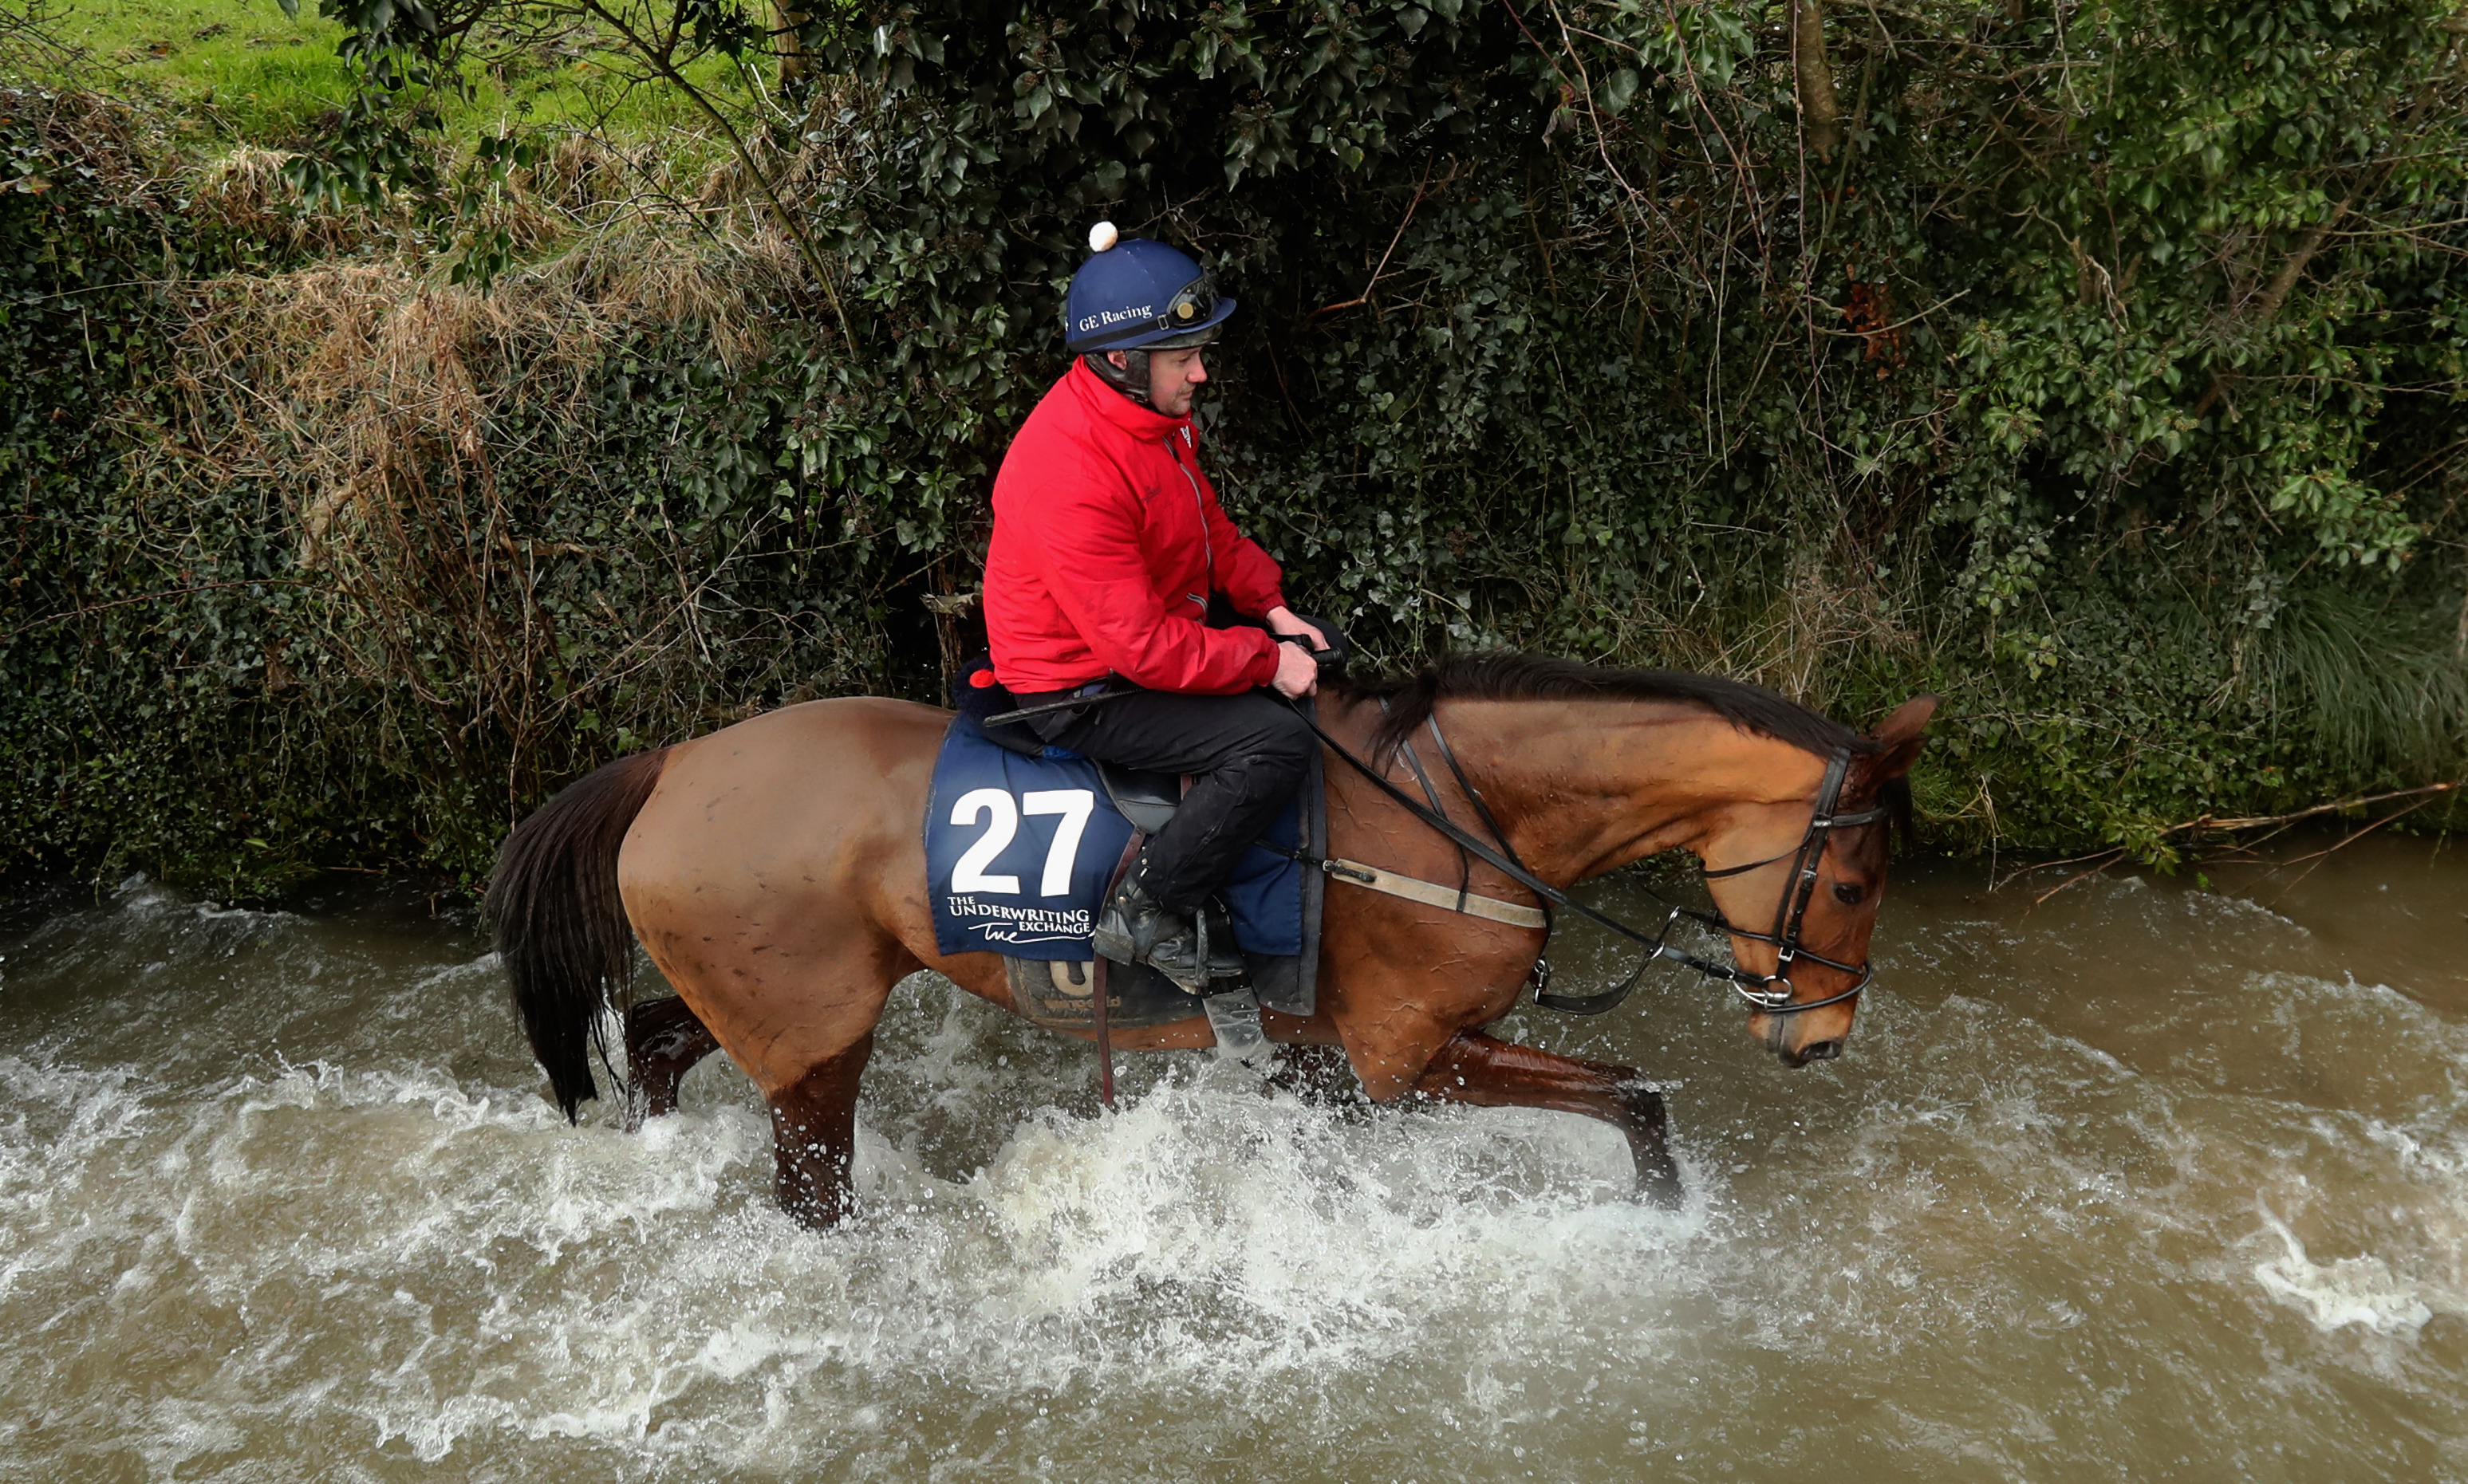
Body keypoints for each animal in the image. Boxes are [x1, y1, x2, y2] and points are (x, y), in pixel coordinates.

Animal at [491, 656, 1934, 1224]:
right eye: (1856, 879)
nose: (1822, 1036)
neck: (1459, 812)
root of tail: (674, 765)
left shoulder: (1318, 1057)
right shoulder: (1410, 1058)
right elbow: (1635, 1096)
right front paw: (1664, 1220)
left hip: (773, 1008)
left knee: (653, 1039)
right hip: (812, 1050)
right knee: (807, 1186)